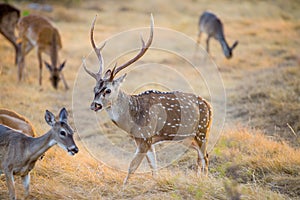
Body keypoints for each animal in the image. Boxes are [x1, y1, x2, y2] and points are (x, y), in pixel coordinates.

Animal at [83, 15, 212, 184]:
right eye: (94, 89)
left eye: (108, 90)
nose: (94, 105)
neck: (132, 118)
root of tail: (209, 107)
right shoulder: (145, 140)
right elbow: (153, 167)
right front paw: (155, 183)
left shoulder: (145, 136)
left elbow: (132, 167)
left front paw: (123, 187)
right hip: (188, 138)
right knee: (200, 157)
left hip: (202, 131)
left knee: (205, 157)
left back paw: (204, 180)